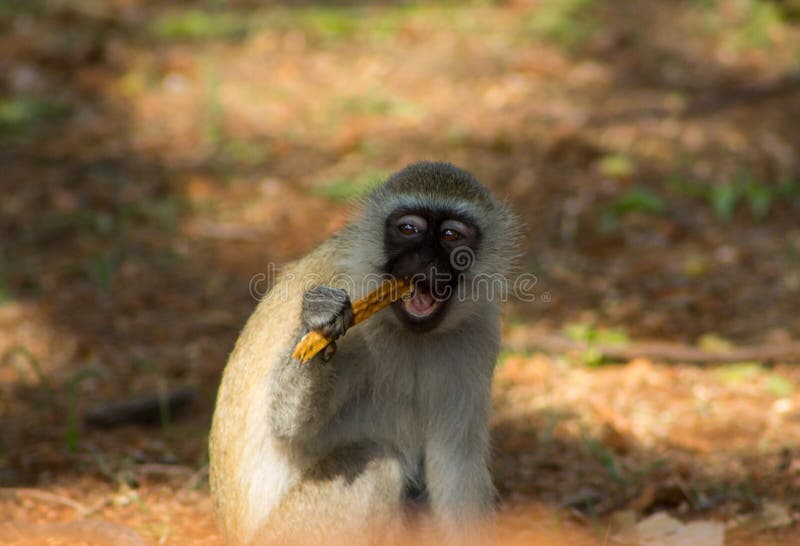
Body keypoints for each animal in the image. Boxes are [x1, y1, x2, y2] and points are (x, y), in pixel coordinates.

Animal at [208, 162, 520, 544]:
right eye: (408, 229)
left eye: (451, 235)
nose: (425, 260)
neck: (410, 332)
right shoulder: (348, 293)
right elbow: (288, 426)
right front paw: (321, 325)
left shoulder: (480, 331)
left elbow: (455, 468)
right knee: (377, 464)